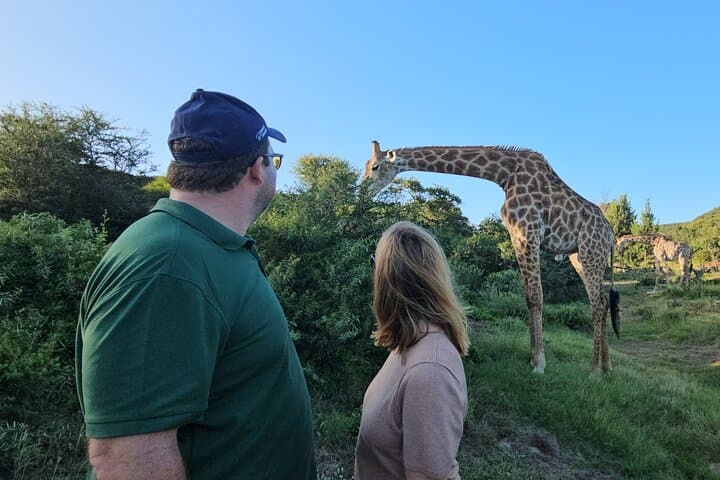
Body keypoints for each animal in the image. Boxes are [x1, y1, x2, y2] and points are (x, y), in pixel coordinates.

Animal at [362, 141, 620, 375]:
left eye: (375, 167)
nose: (362, 190)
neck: (504, 174)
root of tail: (610, 233)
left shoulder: (529, 232)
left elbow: (536, 296)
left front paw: (539, 364)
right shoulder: (516, 235)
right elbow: (528, 297)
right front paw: (531, 359)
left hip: (590, 252)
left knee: (597, 305)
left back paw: (594, 370)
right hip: (580, 256)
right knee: (603, 302)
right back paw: (607, 366)